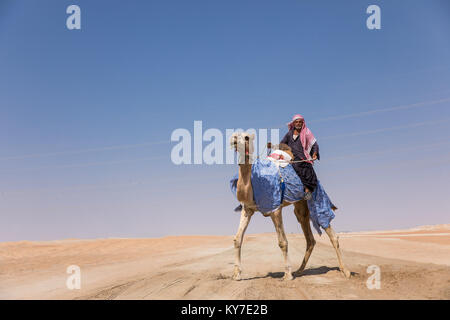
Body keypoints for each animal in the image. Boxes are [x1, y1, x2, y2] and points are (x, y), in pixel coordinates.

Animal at [229, 131, 352, 282]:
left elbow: (282, 242)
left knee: (330, 232)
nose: (234, 140)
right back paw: (299, 270)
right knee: (309, 237)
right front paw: (236, 274)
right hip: (301, 206)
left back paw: (346, 271)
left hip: (317, 199)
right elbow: (237, 239)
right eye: (234, 134)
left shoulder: (275, 209)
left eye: (246, 137)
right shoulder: (247, 209)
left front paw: (287, 274)